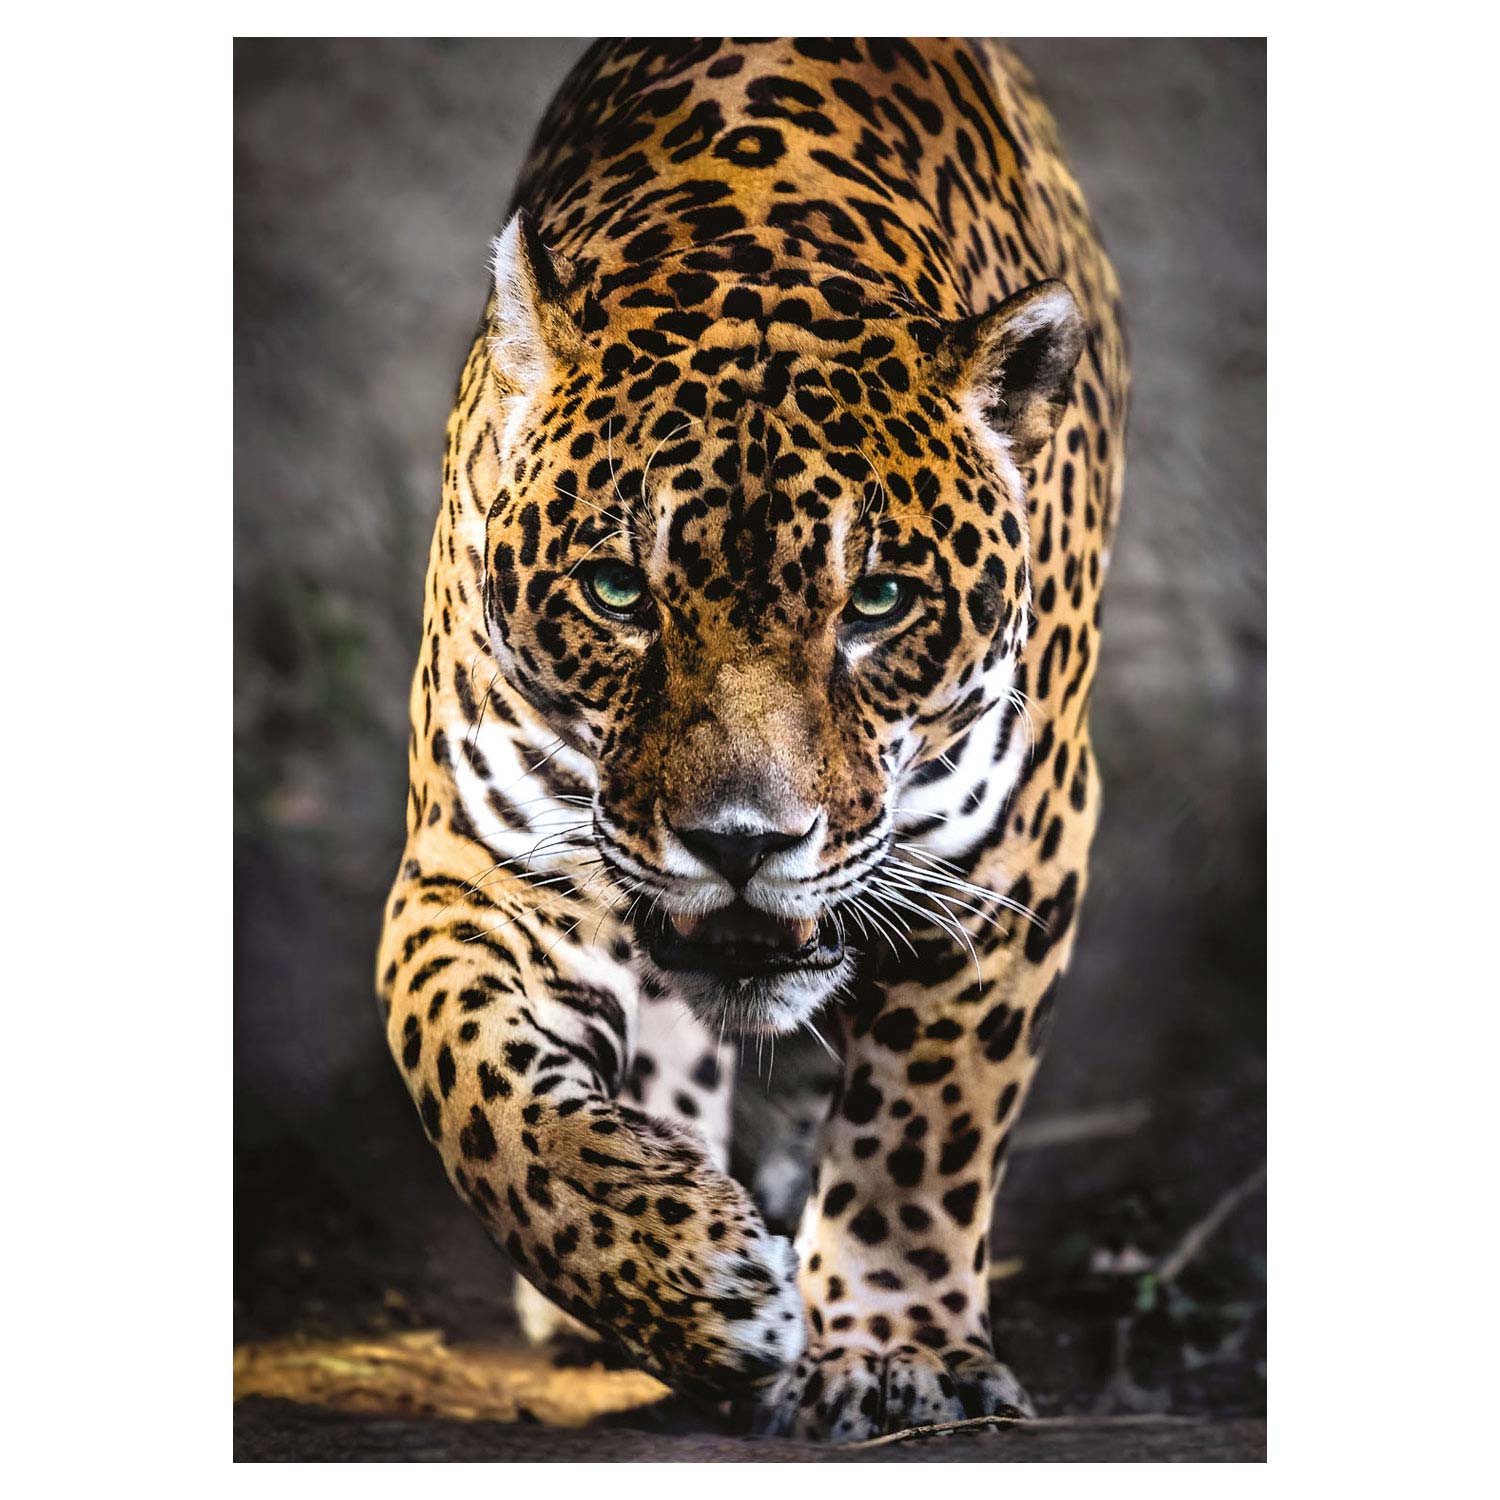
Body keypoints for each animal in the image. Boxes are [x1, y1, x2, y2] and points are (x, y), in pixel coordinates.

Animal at [376, 36, 1127, 1441]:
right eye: (619, 592)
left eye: (877, 603)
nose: (741, 843)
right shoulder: (477, 864)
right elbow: (477, 1089)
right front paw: (684, 1278)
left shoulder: (1010, 857)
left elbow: (924, 1126)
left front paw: (895, 1352)